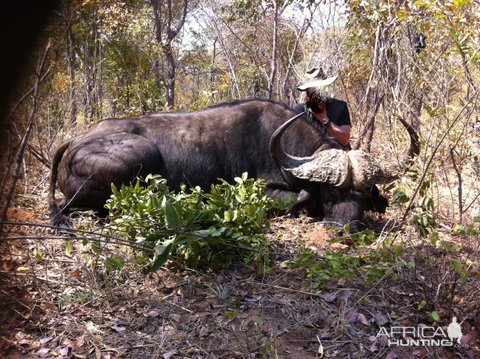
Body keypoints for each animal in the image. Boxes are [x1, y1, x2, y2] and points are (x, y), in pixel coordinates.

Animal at [47, 100, 418, 232]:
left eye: (363, 194)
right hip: (140, 155)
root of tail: (75, 142)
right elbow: (299, 198)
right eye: (330, 193)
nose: (344, 228)